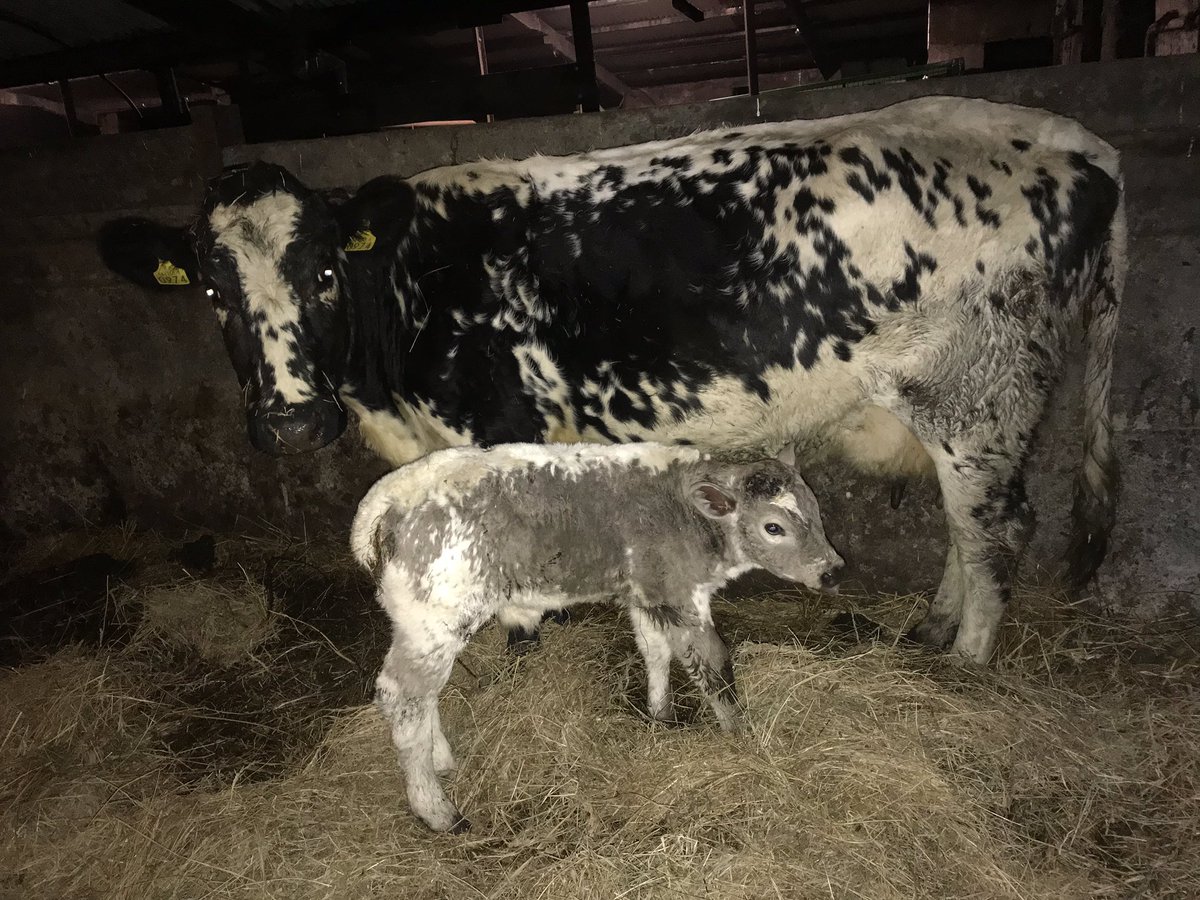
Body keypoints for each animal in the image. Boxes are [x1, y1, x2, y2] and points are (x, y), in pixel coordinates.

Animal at [97, 95, 1126, 665]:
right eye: (214, 293)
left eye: (319, 273)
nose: (294, 424)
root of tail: (1075, 144)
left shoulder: (492, 424)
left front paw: (516, 639)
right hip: (970, 408)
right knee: (969, 527)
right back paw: (936, 631)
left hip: (979, 393)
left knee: (999, 527)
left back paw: (970, 663)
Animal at [350, 441, 843, 831]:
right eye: (773, 527)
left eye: (817, 512)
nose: (832, 570)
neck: (682, 509)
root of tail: (386, 501)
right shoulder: (681, 594)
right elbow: (713, 664)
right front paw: (743, 737)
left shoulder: (646, 593)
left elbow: (654, 649)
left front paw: (660, 715)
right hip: (437, 616)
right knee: (402, 697)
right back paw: (439, 812)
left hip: (421, 625)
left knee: (424, 694)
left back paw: (442, 761)